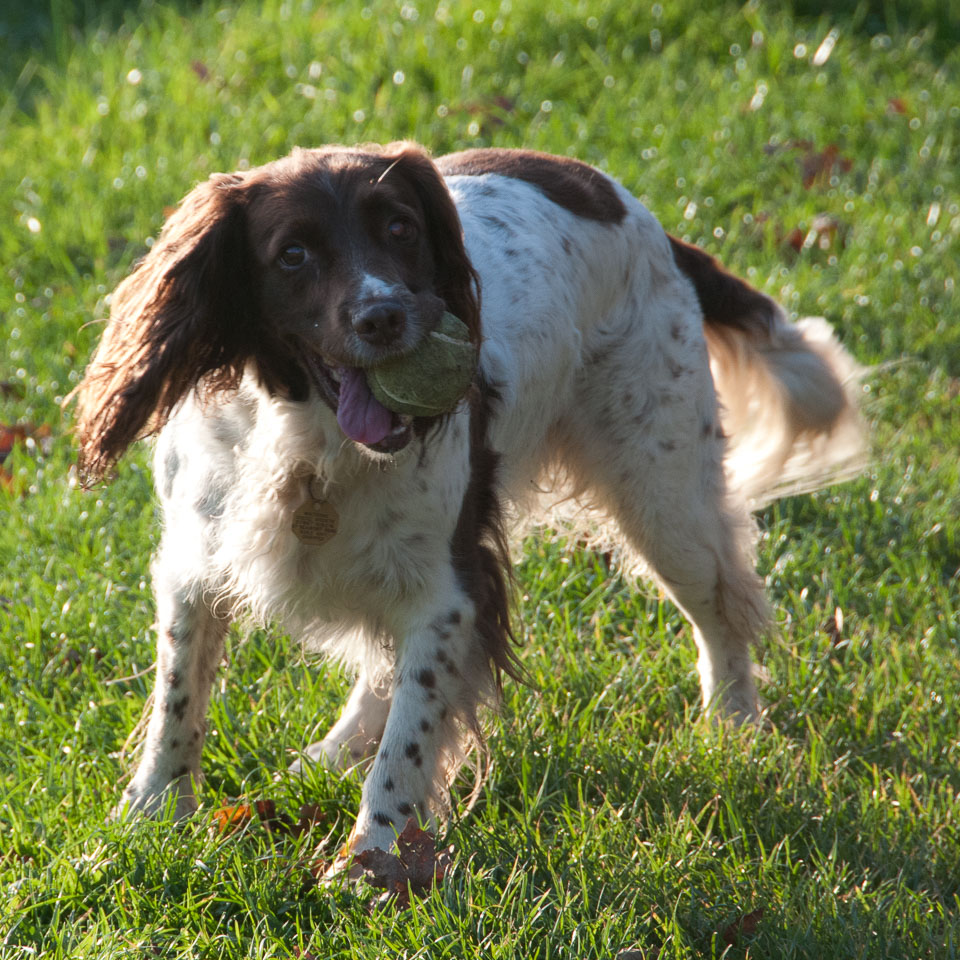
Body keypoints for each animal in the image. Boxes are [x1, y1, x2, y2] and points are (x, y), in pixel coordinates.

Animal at [71, 144, 868, 864]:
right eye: (292, 254)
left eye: (400, 228)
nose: (384, 317)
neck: (307, 442)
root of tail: (636, 211)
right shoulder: (194, 564)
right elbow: (178, 702)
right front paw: (146, 820)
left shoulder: (452, 587)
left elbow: (411, 735)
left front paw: (372, 864)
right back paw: (328, 755)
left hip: (662, 496)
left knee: (722, 610)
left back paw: (735, 729)